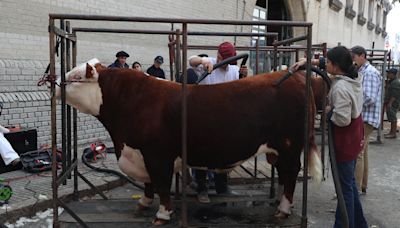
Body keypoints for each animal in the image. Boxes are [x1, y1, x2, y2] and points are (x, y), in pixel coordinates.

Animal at [55, 58, 322, 224]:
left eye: (76, 76)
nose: (54, 83)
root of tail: (294, 76)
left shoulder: (156, 154)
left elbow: (161, 184)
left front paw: (162, 215)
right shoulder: (141, 153)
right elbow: (149, 183)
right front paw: (143, 203)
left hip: (289, 146)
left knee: (291, 173)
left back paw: (283, 210)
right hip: (279, 149)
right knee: (285, 174)